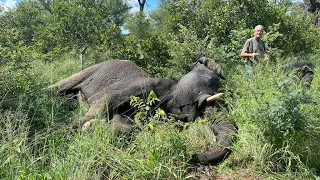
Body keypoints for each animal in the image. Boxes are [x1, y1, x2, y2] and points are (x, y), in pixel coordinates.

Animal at [48, 57, 238, 165]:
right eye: (208, 84)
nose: (194, 156)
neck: (173, 89)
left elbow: (129, 126)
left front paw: (97, 127)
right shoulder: (145, 85)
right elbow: (104, 101)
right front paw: (64, 132)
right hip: (91, 69)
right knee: (58, 87)